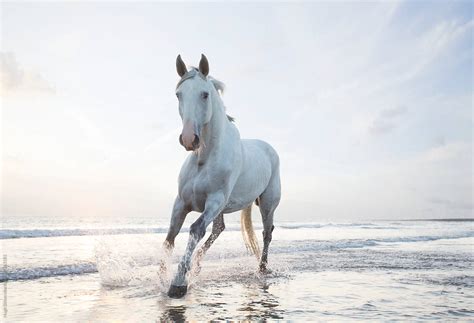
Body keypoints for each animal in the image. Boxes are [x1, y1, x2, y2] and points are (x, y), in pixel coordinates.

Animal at [164, 53, 282, 298]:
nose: (189, 139)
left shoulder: (214, 201)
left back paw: (262, 269)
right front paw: (161, 277)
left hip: (267, 204)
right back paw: (198, 266)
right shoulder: (181, 202)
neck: (204, 157)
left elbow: (195, 230)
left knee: (267, 233)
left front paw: (178, 284)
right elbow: (171, 235)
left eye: (205, 94)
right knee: (219, 229)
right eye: (179, 94)